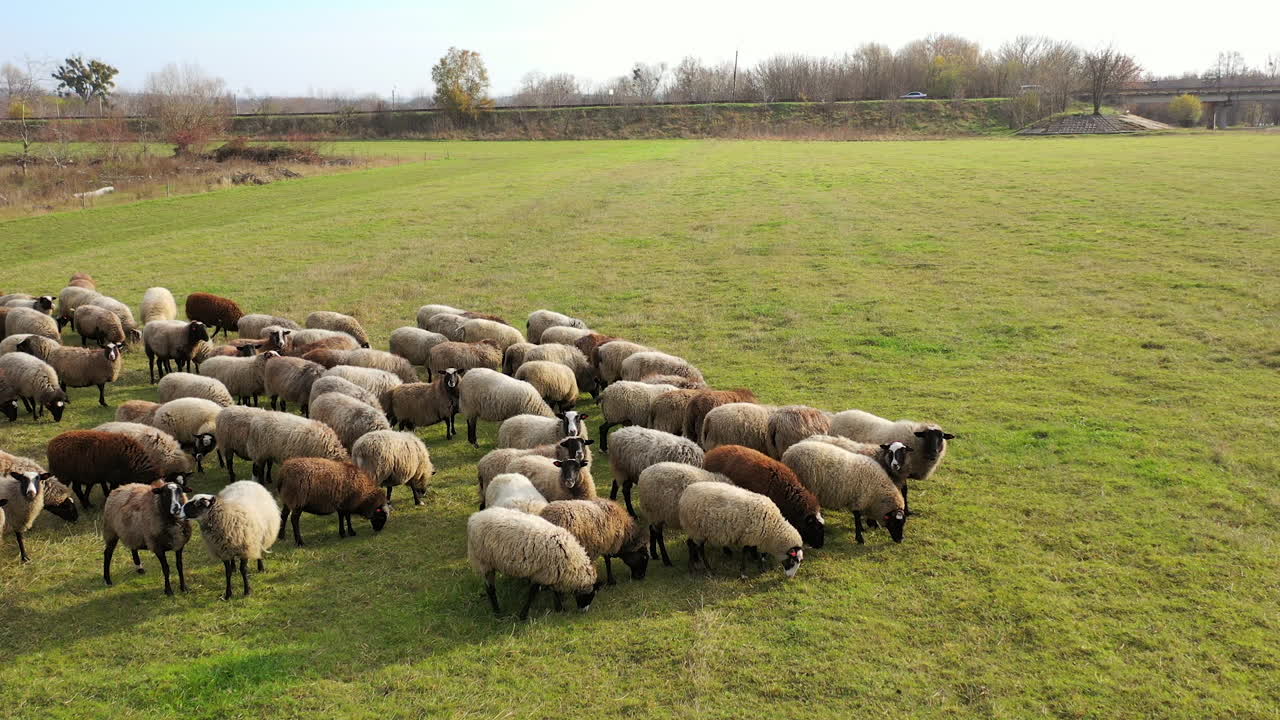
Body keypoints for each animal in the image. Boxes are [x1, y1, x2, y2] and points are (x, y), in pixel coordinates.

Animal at [467, 507, 599, 619]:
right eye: (589, 596)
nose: (584, 612)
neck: (572, 560)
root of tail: (474, 518)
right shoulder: (542, 573)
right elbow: (533, 594)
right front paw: (523, 615)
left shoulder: (551, 573)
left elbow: (554, 591)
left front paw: (559, 609)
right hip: (483, 561)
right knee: (490, 589)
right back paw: (497, 613)